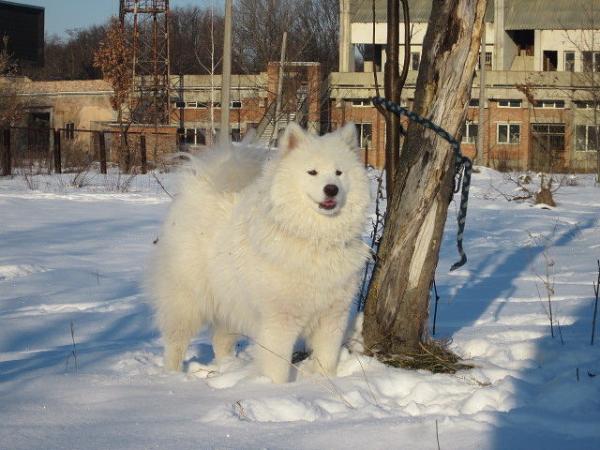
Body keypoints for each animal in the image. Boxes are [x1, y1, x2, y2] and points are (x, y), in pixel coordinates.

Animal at [146, 123, 370, 384]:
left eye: (339, 172)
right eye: (312, 172)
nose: (331, 189)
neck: (316, 238)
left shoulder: (333, 318)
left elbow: (327, 360)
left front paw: (323, 382)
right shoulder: (279, 321)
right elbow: (278, 367)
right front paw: (275, 388)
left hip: (229, 302)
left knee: (220, 341)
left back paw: (227, 369)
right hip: (186, 302)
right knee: (176, 342)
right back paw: (172, 375)